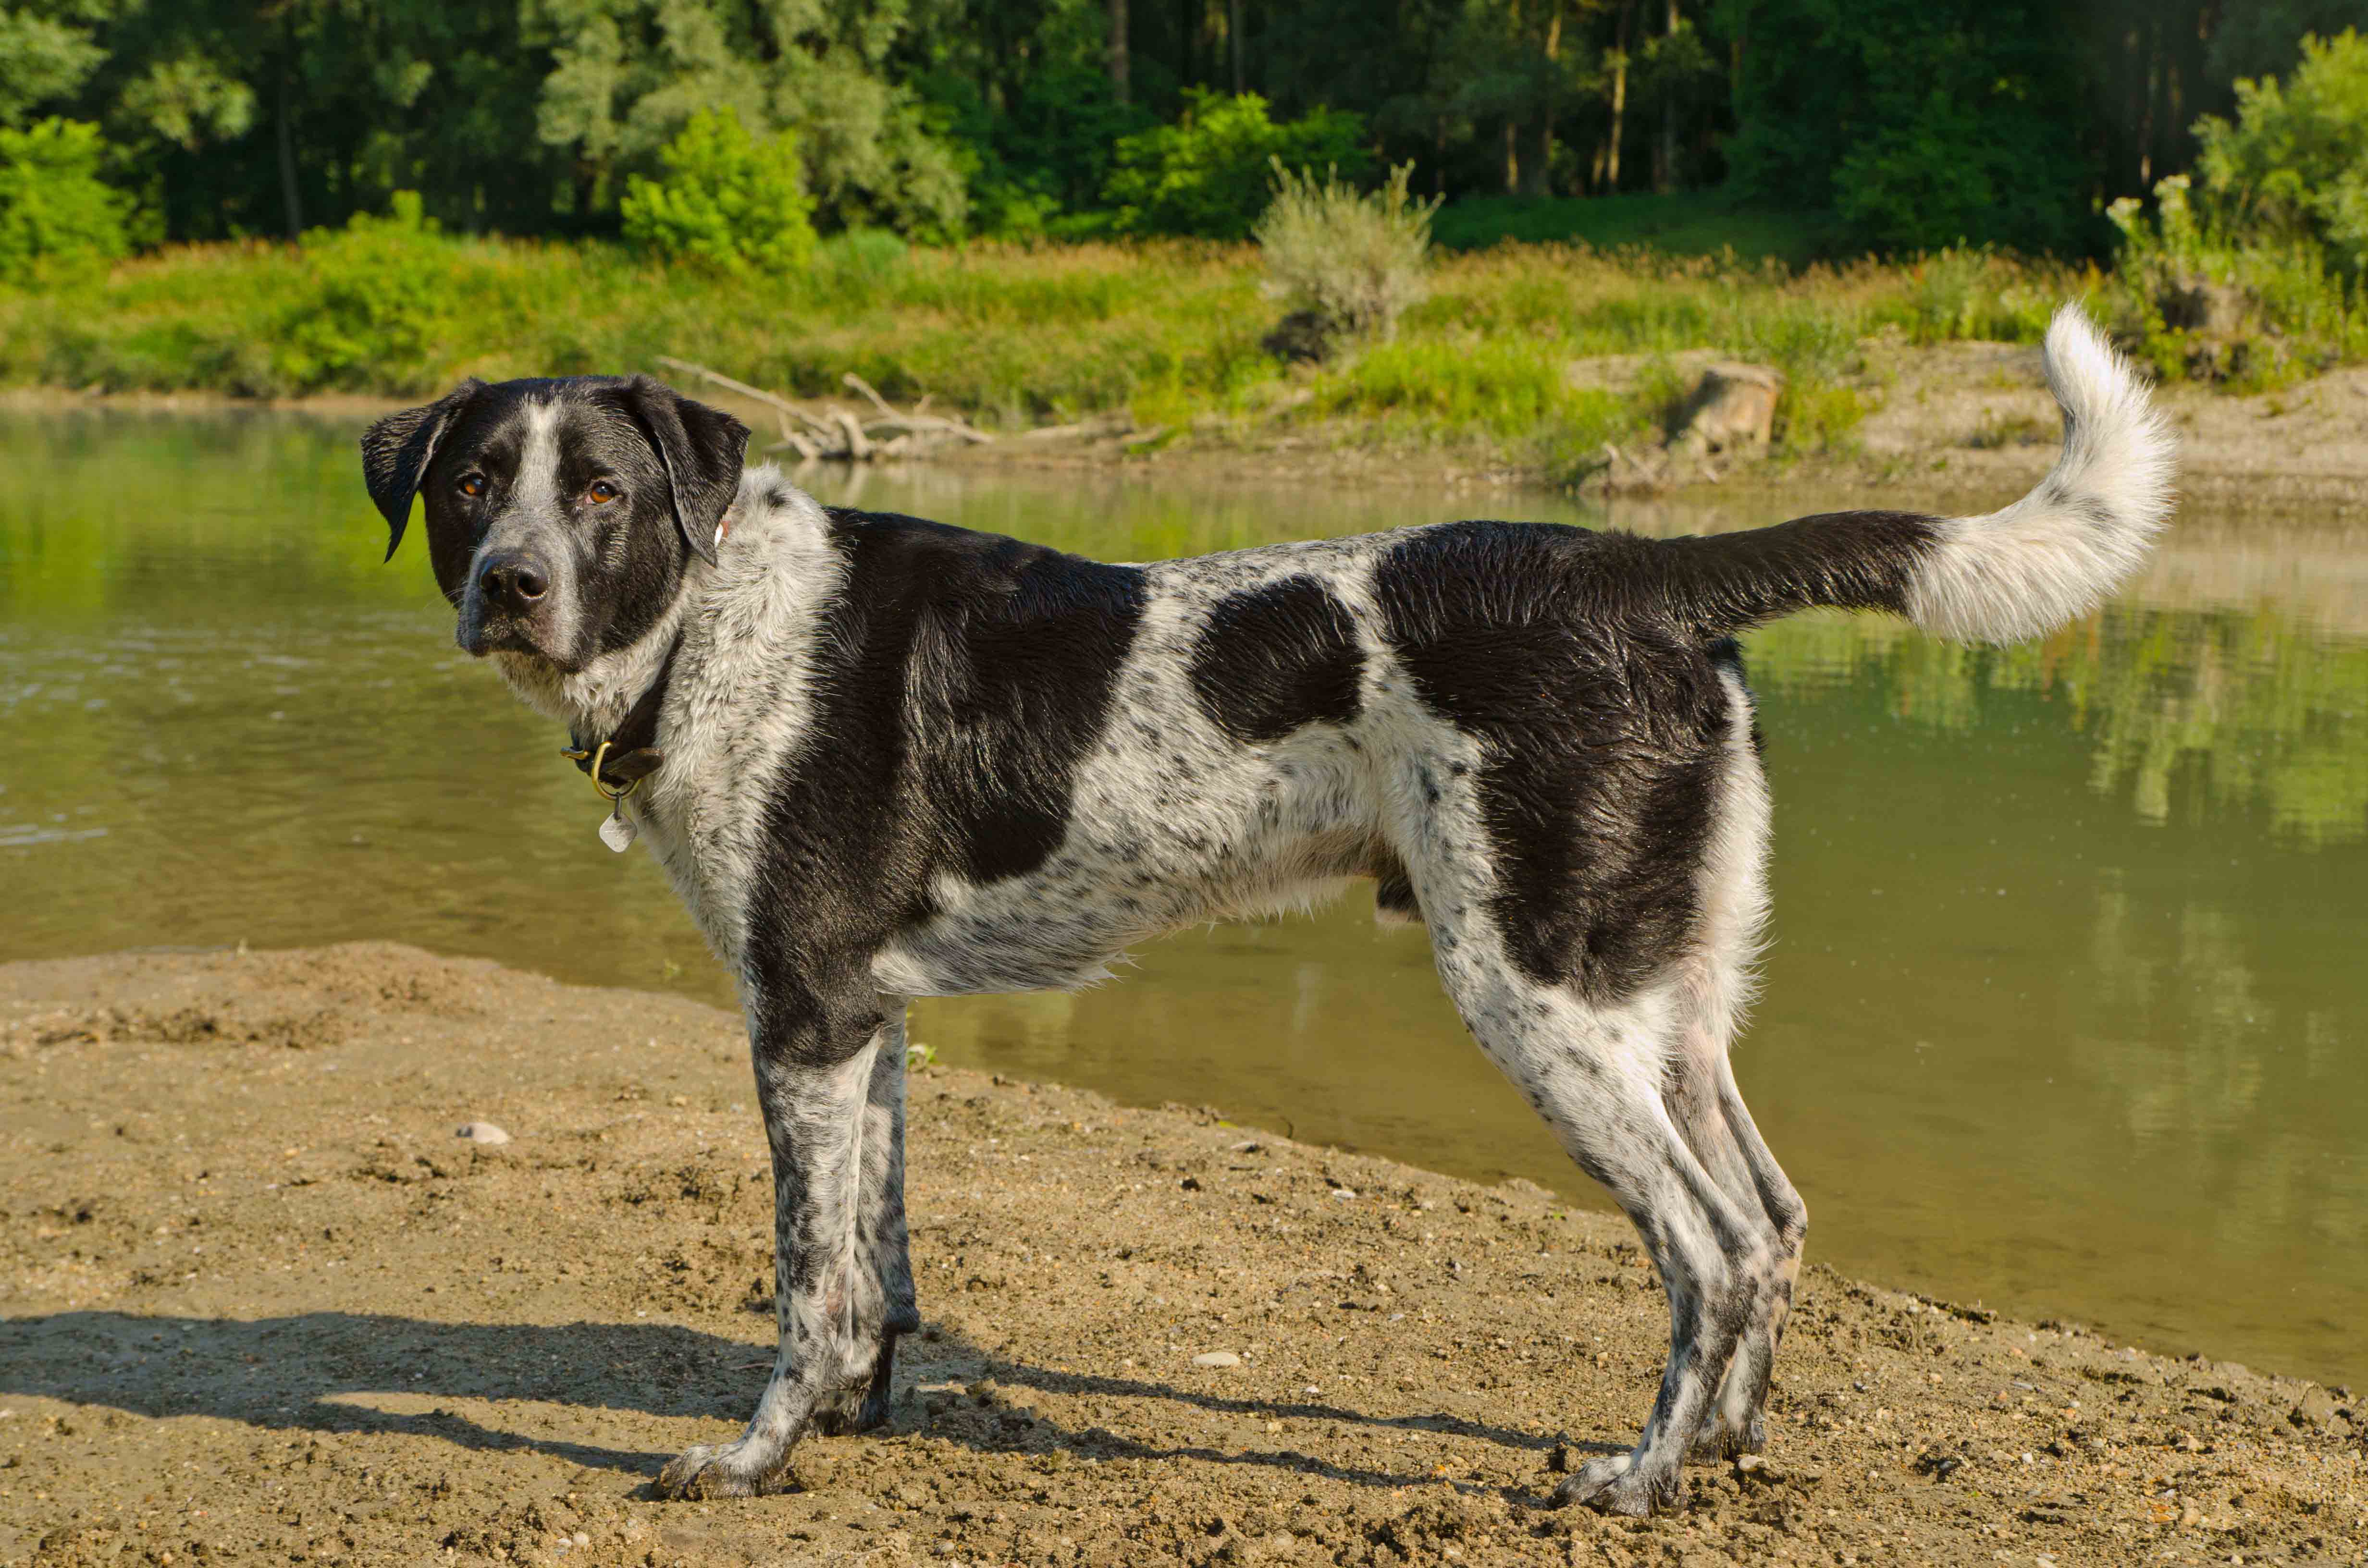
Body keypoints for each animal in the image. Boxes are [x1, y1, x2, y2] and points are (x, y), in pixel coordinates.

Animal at [355, 307, 2169, 1525]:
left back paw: (1639, 1479)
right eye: (470, 484)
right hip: (1660, 998)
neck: (716, 620)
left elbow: (805, 1285)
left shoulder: (799, 1013)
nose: (508, 584)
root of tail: (1644, 575)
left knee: (1710, 1245)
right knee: (1776, 1221)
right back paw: (1726, 1451)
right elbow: (874, 1260)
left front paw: (755, 1459)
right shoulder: (866, 1022)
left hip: (1537, 995)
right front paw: (861, 1419)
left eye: (598, 489)